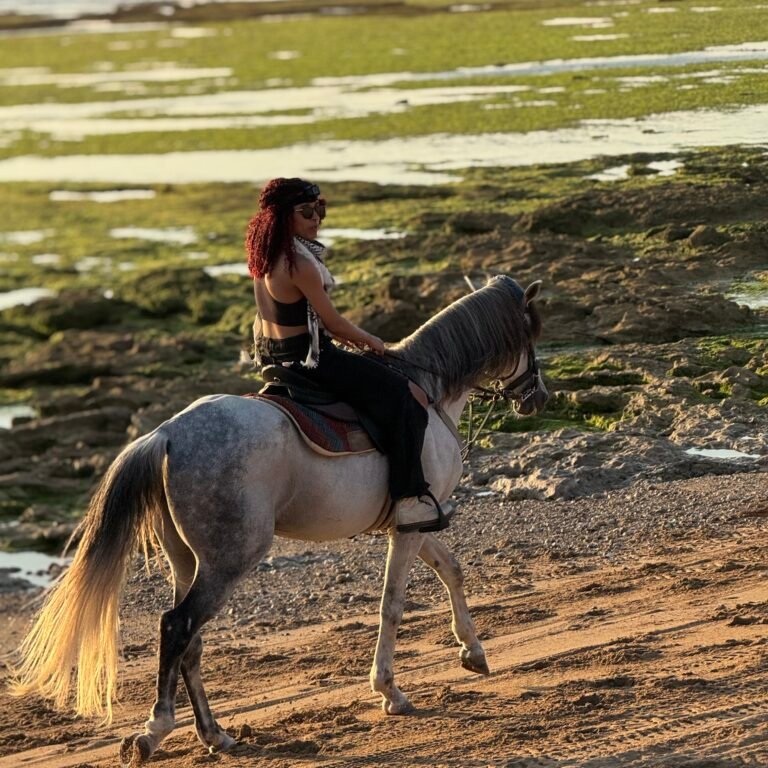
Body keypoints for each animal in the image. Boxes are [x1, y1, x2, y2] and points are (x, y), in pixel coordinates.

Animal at [11, 275, 548, 765]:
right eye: (532, 334)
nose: (538, 397)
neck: (429, 392)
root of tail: (166, 434)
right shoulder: (413, 521)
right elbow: (392, 606)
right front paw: (390, 691)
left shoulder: (413, 522)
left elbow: (452, 570)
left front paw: (472, 651)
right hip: (228, 560)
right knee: (177, 628)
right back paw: (154, 731)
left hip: (188, 562)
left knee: (191, 643)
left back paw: (215, 734)